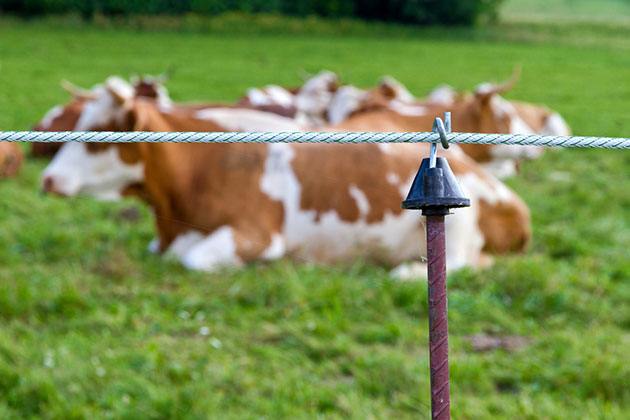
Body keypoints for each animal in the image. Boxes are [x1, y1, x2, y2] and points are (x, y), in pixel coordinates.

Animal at [42, 81, 532, 278]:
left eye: (96, 136)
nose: (47, 179)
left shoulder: (256, 234)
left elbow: (195, 260)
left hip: (461, 224)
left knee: (467, 263)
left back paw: (408, 272)